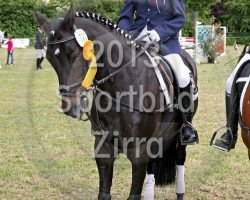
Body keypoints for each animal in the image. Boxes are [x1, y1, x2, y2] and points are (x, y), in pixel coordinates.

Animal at [36, 6, 198, 200]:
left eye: (74, 55)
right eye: (50, 59)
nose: (70, 106)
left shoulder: (138, 152)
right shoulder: (104, 149)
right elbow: (104, 193)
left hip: (180, 134)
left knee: (180, 159)